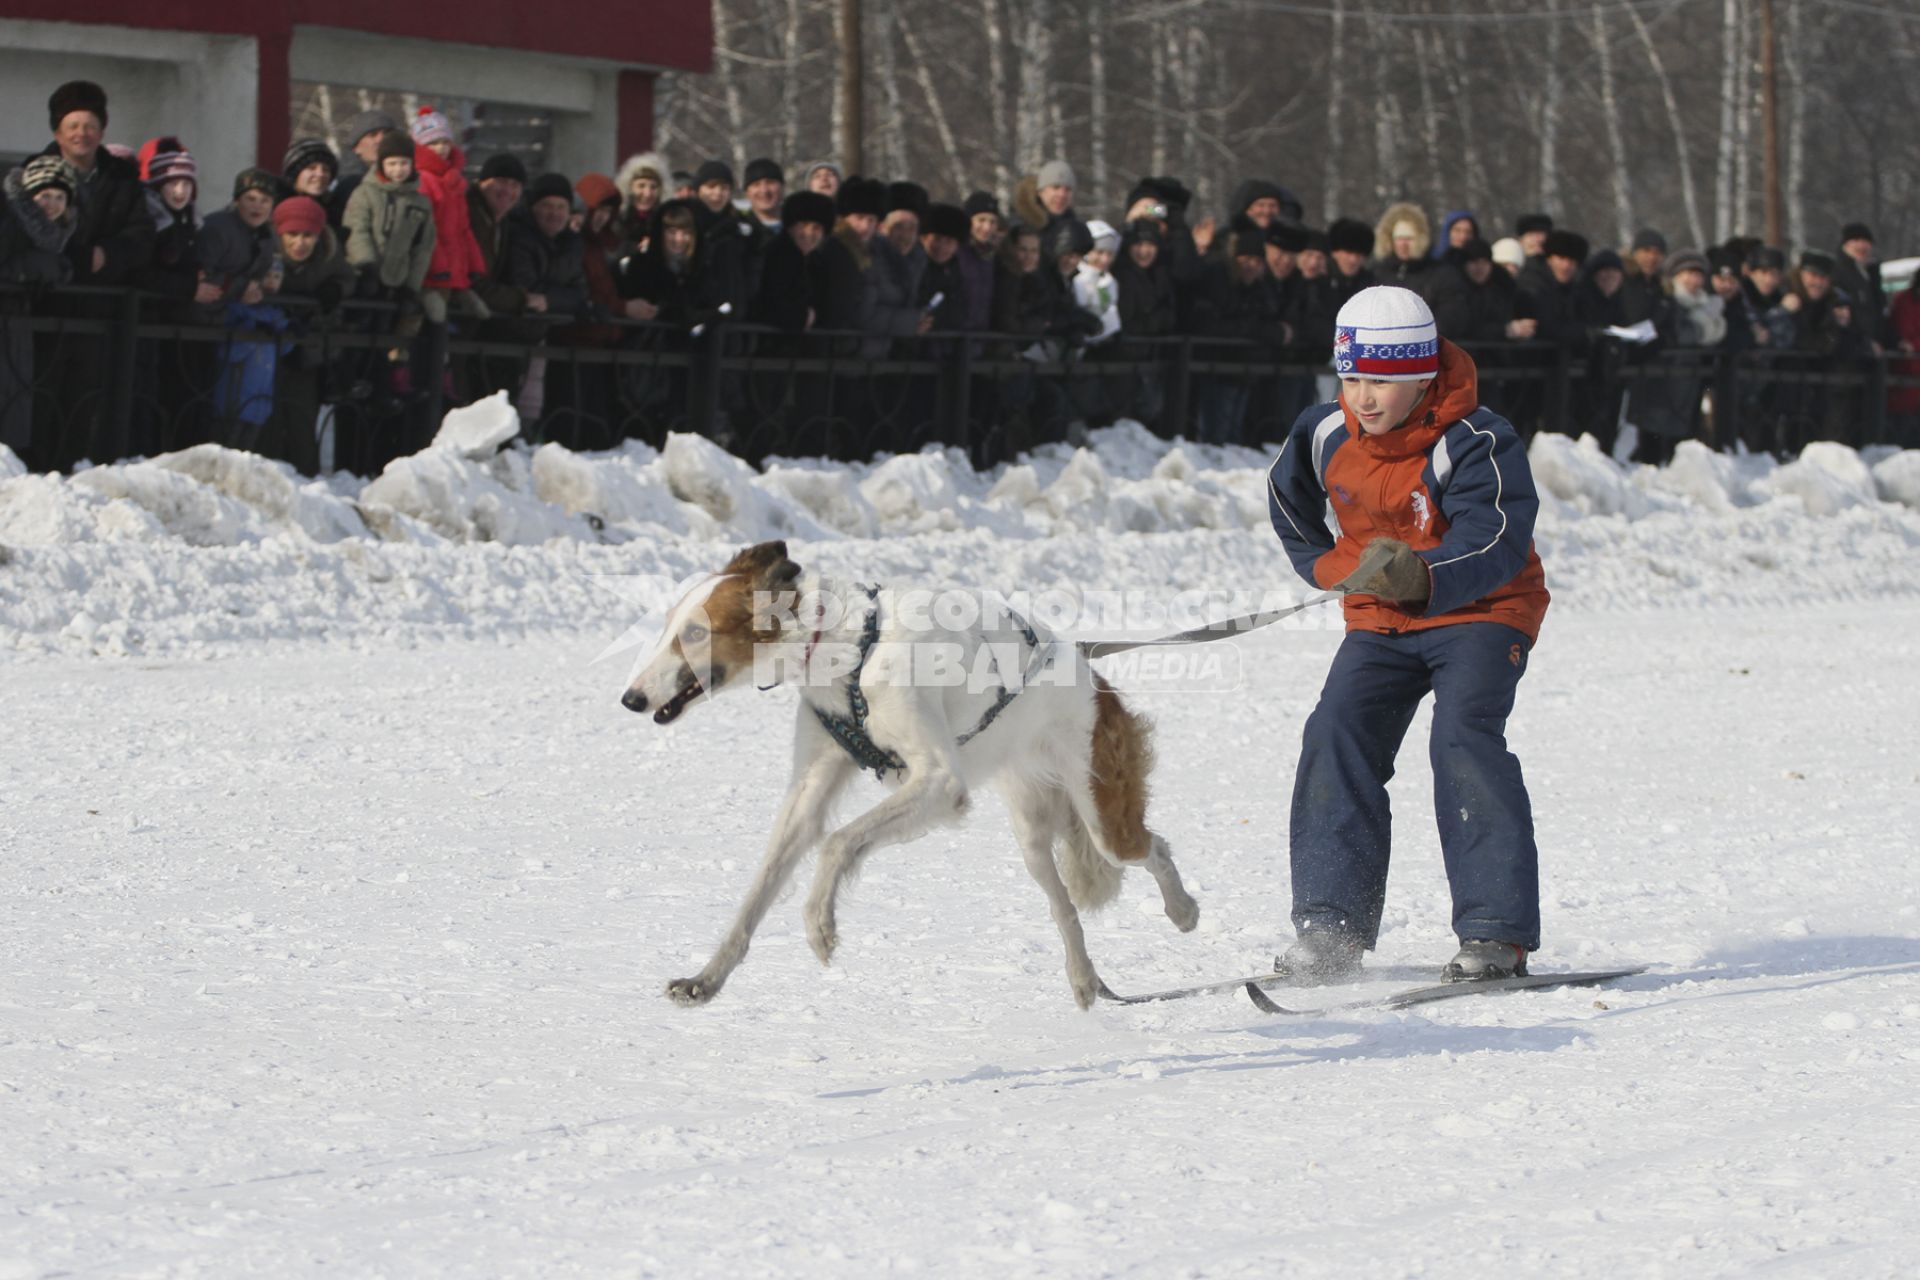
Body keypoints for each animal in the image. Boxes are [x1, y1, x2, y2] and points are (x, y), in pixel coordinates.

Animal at [622, 541, 1190, 1013]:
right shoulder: (811, 789)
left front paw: (820, 922)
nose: (630, 699)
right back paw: (1085, 978)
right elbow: (758, 892)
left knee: (1155, 847)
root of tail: (1096, 677)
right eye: (670, 627)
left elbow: (837, 843)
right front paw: (705, 979)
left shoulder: (939, 783)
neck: (845, 649)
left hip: (1102, 816)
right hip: (1032, 837)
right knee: (1064, 907)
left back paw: (1183, 909)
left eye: (696, 633)